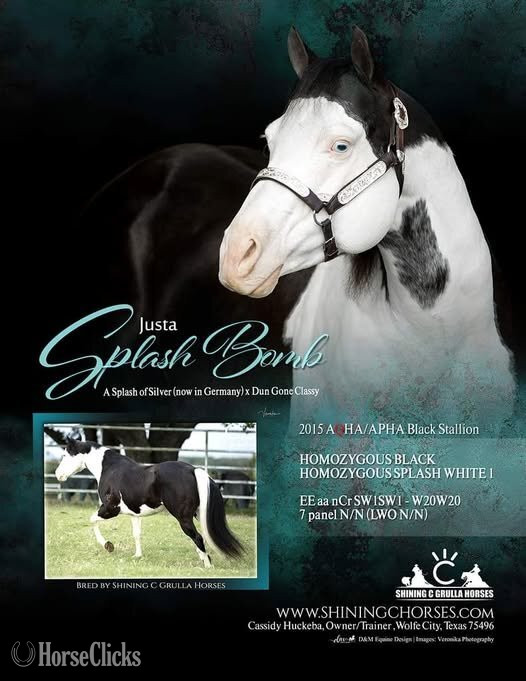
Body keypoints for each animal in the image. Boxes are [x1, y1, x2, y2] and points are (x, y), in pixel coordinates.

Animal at [54, 437, 242, 567]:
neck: (109, 469)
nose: (58, 475)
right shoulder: (133, 513)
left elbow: (92, 520)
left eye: (65, 455)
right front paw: (137, 556)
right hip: (197, 513)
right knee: (200, 537)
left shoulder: (110, 509)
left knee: (198, 537)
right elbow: (137, 534)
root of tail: (192, 470)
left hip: (183, 518)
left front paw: (108, 545)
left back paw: (207, 565)